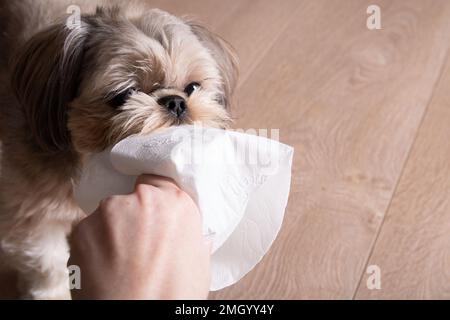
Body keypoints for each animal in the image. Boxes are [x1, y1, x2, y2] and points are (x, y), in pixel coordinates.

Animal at [0, 0, 239, 300]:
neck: (84, 158)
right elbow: (47, 263)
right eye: (124, 94)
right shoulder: (33, 218)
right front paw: (53, 293)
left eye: (193, 87)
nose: (175, 102)